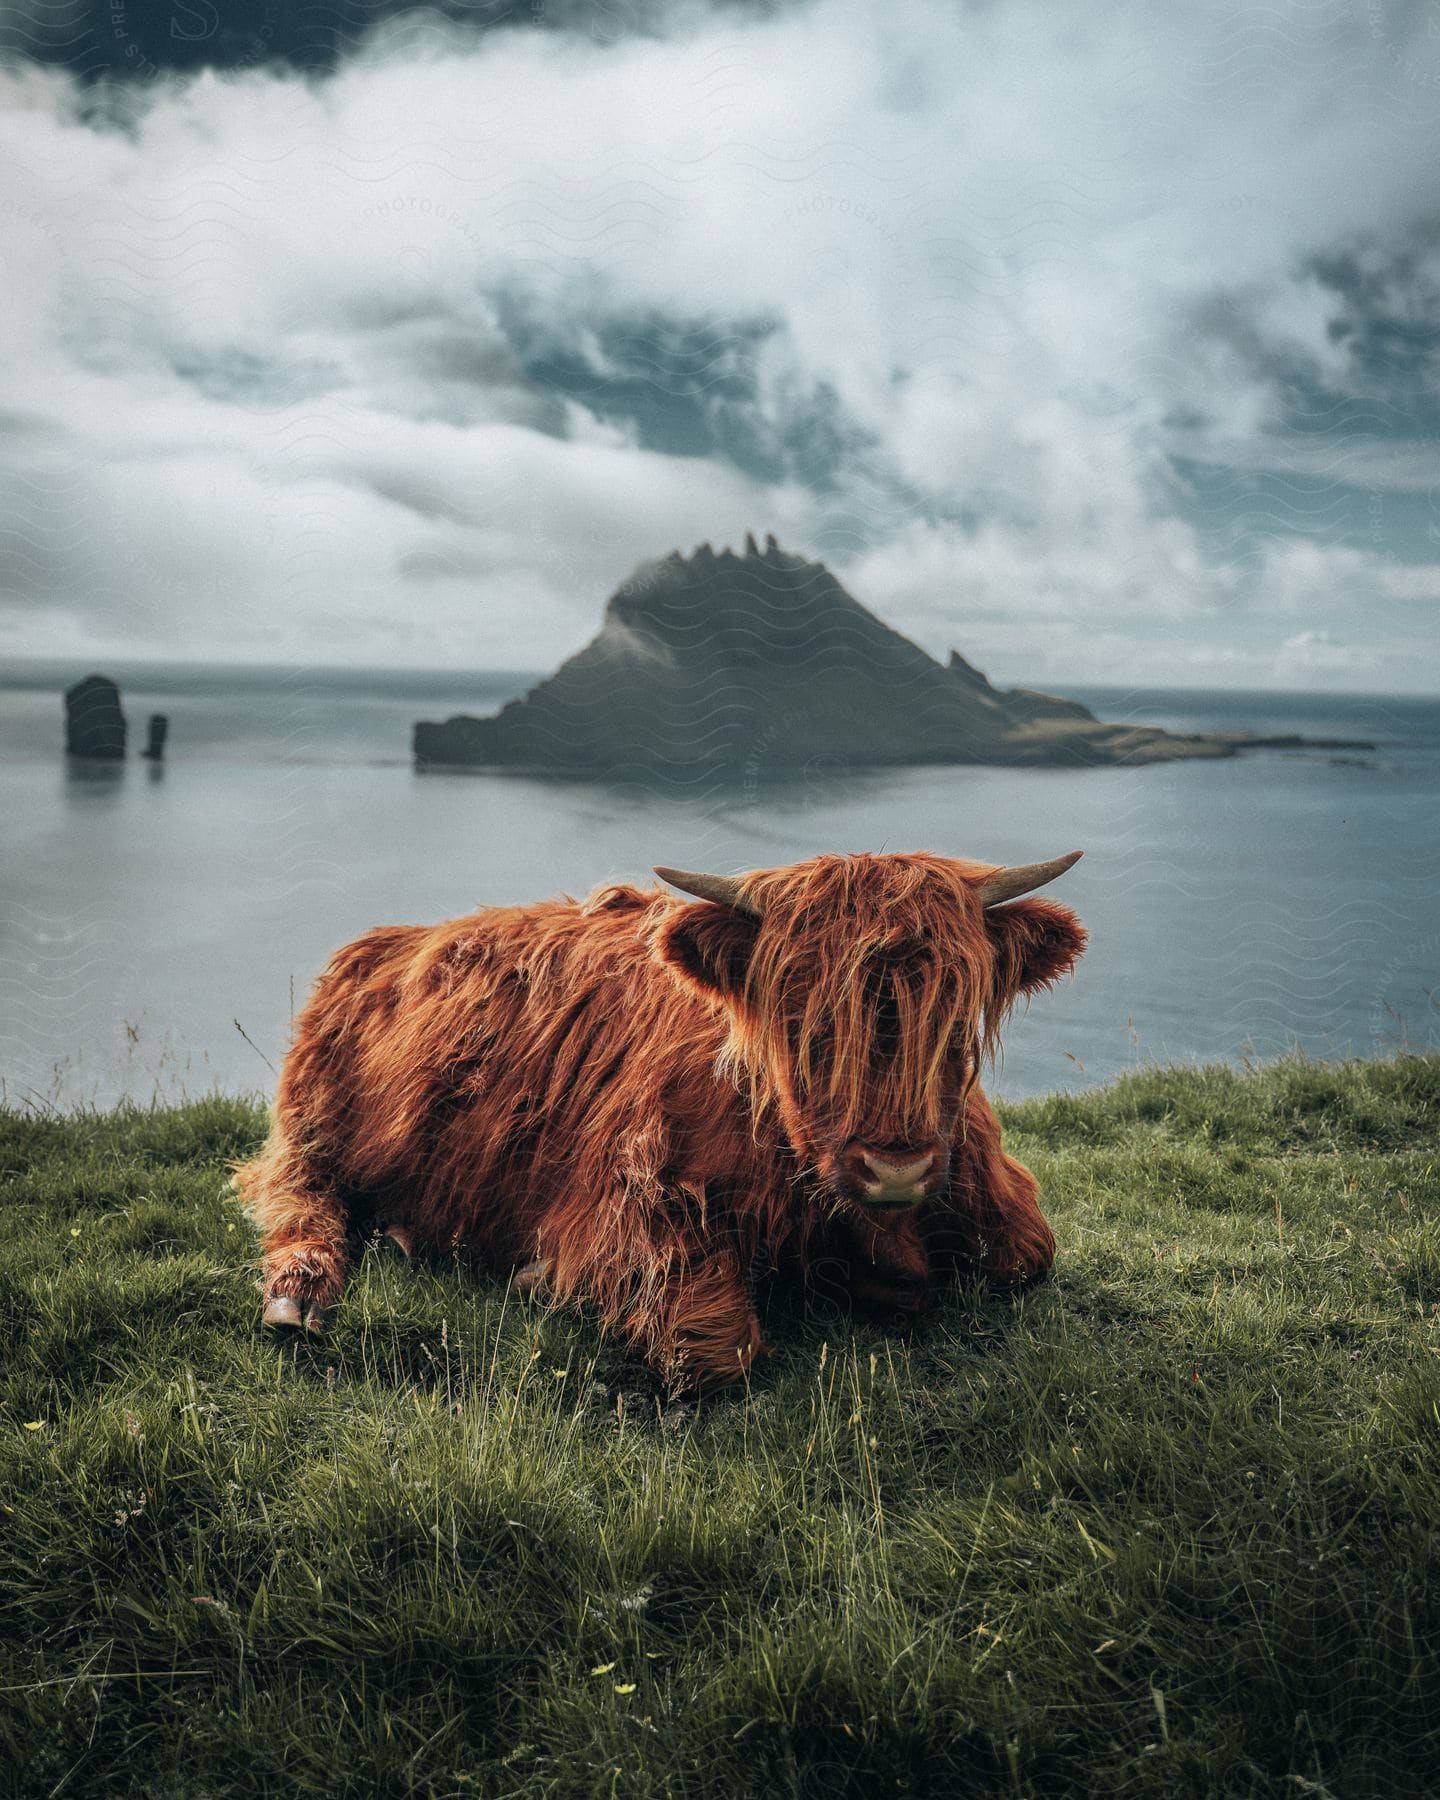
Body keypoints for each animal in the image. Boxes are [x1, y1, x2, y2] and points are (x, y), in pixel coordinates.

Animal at [241, 849, 1087, 1382]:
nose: (895, 1165)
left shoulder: (997, 1203)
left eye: (955, 1006)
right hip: (312, 1119)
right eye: (797, 1016)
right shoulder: (621, 1213)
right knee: (297, 1192)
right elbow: (717, 1346)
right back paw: (301, 1293)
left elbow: (1026, 1254)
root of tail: (387, 938)